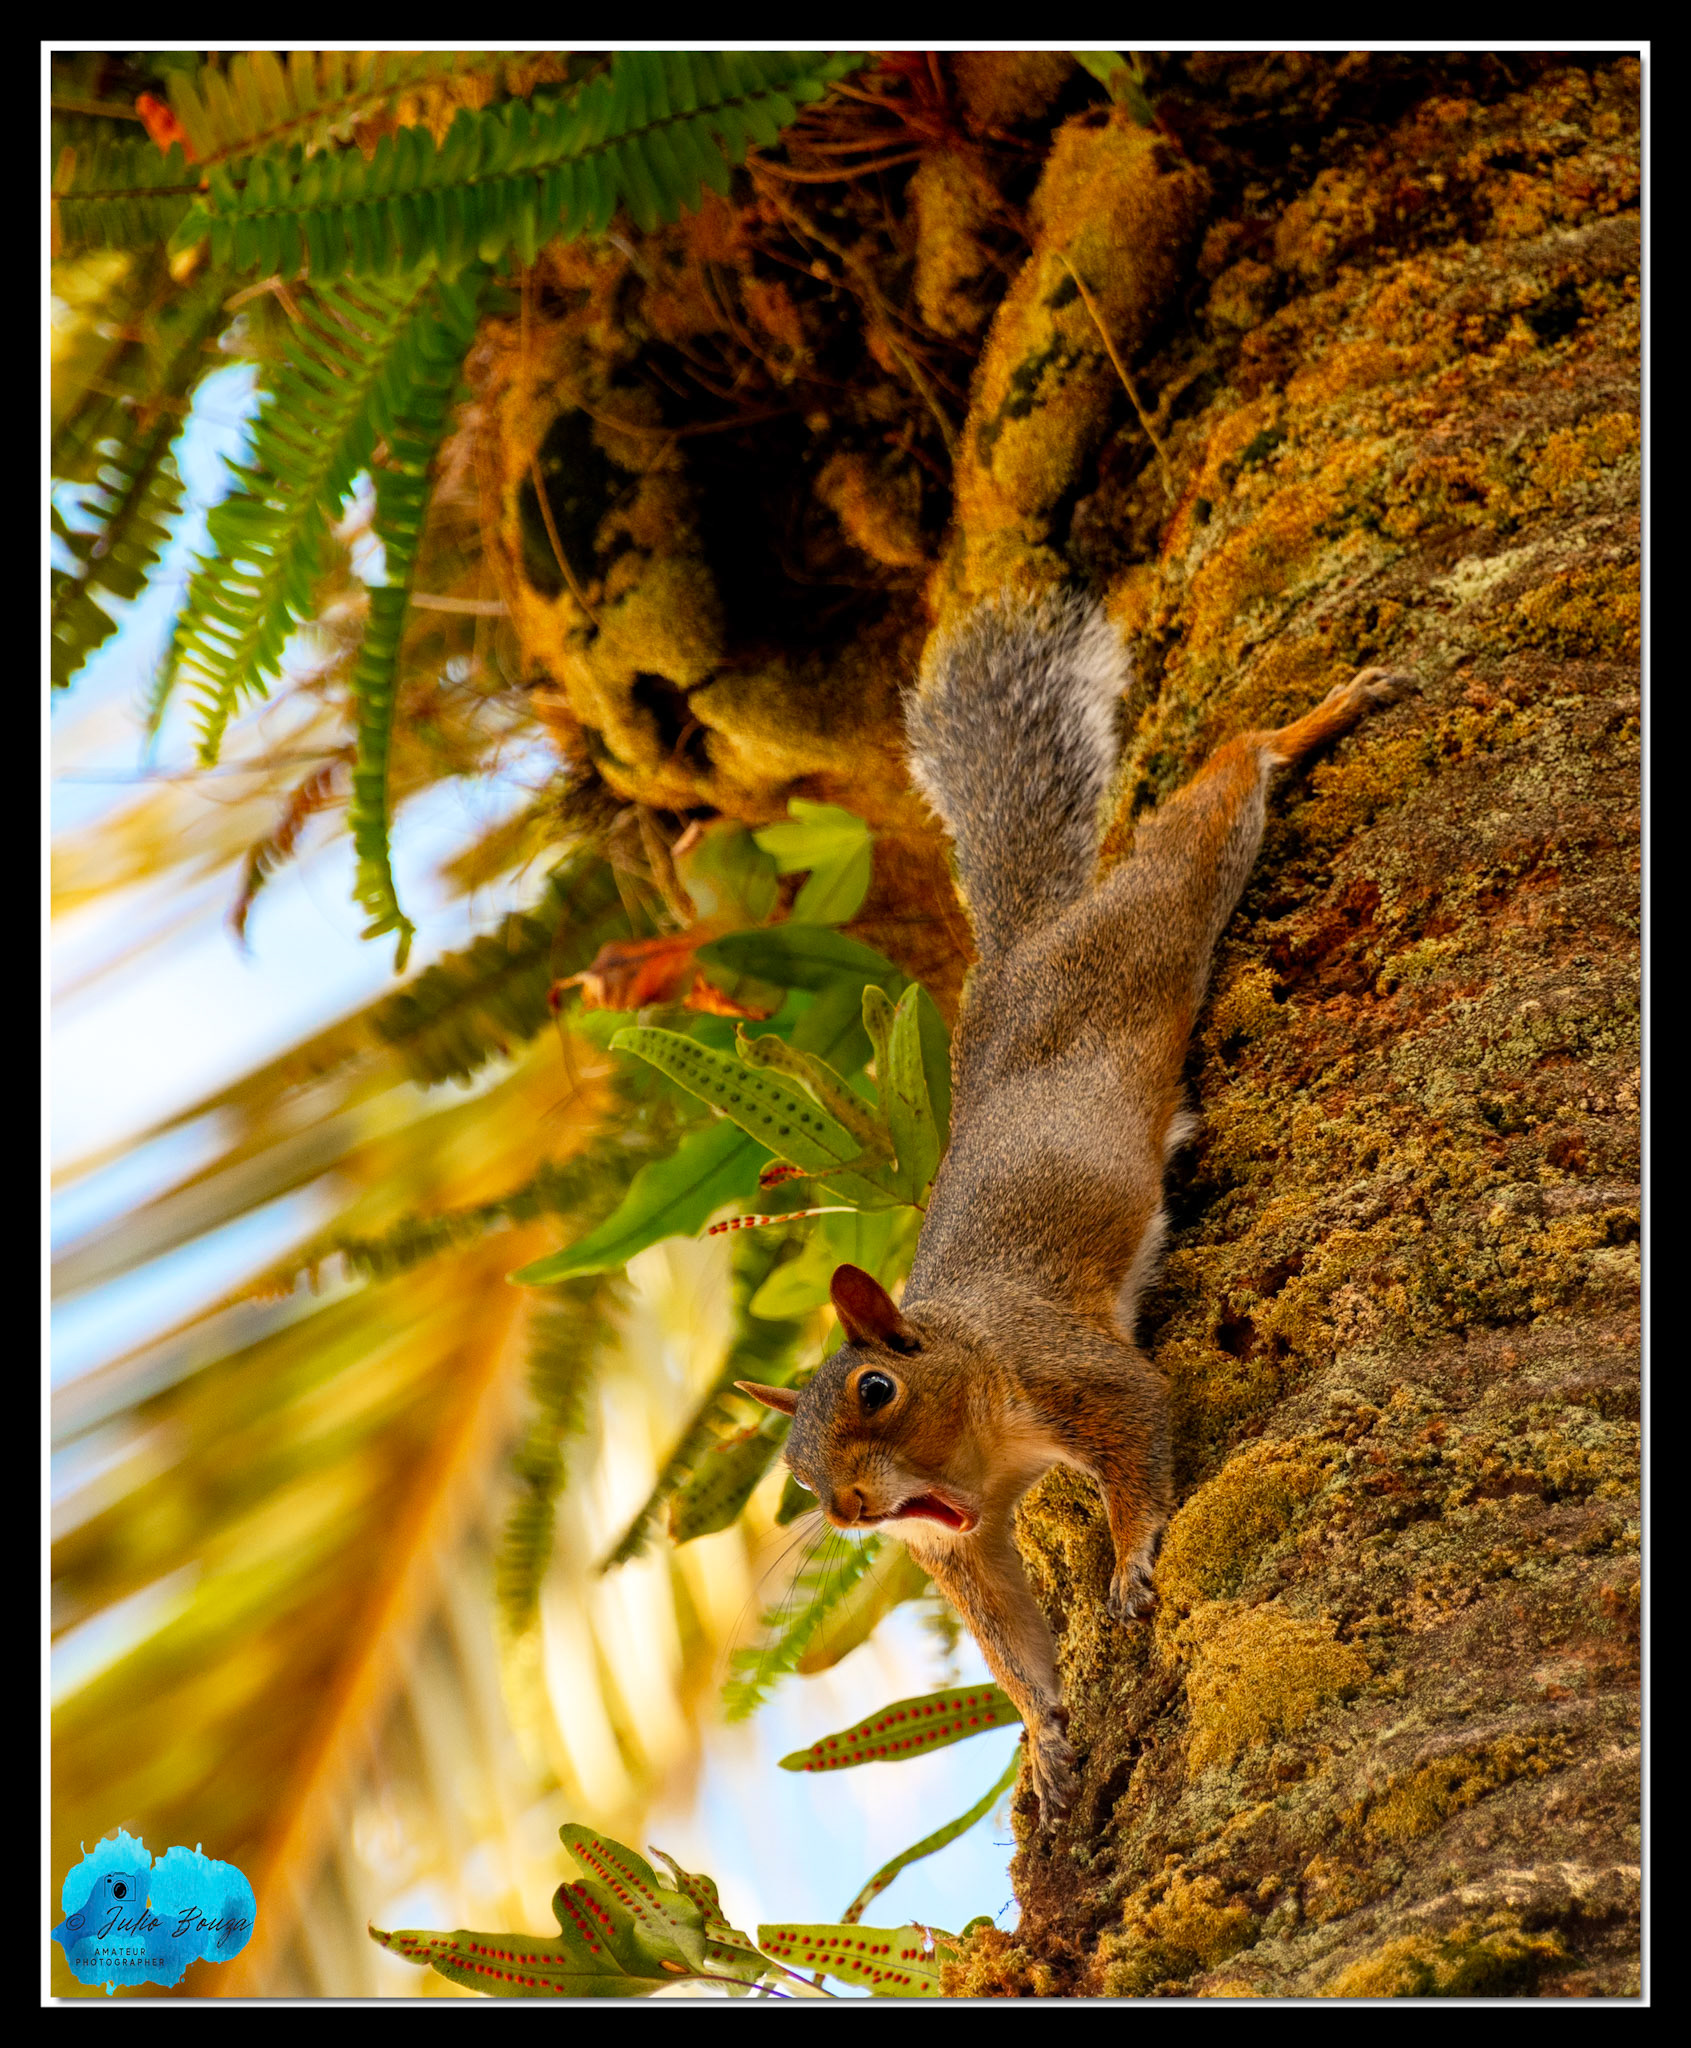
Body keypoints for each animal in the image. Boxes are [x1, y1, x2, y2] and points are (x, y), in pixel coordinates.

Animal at [738, 592, 1416, 1820]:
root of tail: (1016, 954)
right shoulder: (957, 1545)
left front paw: (1136, 1557)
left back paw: (1325, 714)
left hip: (1143, 933)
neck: (973, 1437)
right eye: (798, 1475)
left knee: (1205, 814)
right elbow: (1008, 1631)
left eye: (874, 1388)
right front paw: (1047, 1733)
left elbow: (1140, 1424)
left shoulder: (1064, 1366)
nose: (852, 1508)